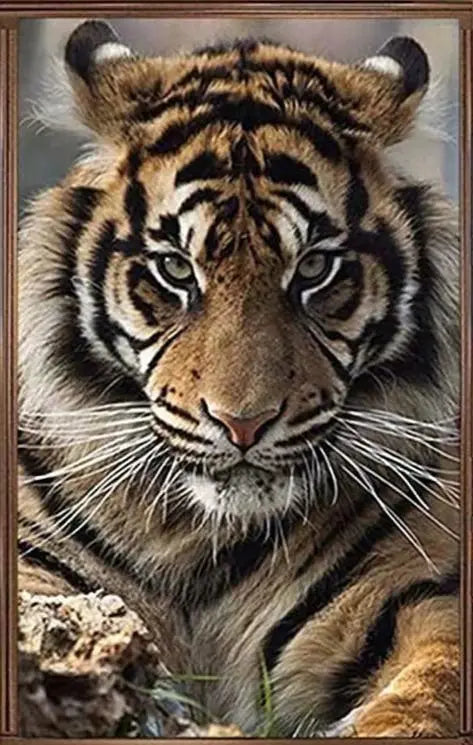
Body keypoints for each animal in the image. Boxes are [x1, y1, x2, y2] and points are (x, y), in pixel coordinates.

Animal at [18, 20, 461, 738]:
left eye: (313, 269)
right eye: (175, 268)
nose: (243, 423)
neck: (198, 538)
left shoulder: (420, 591)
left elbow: (431, 688)